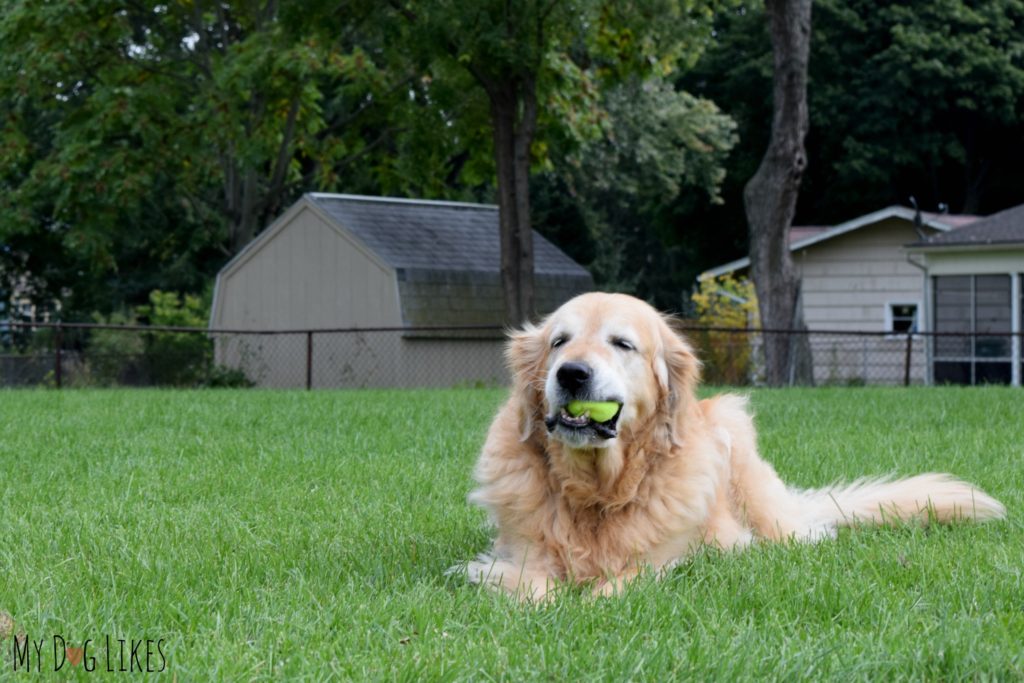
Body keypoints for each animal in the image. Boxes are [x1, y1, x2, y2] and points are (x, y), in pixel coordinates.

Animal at [454, 290, 999, 602]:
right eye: (558, 342)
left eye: (622, 344)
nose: (571, 374)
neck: (598, 491)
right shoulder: (519, 554)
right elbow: (533, 589)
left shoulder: (681, 554)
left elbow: (627, 581)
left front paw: (595, 598)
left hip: (739, 445)